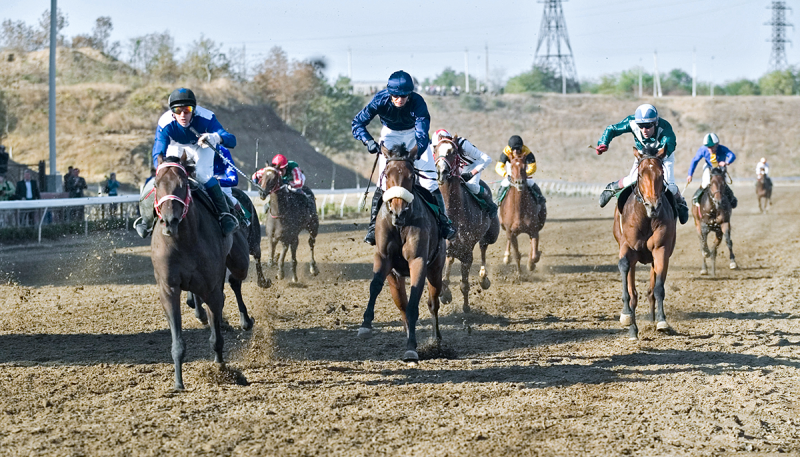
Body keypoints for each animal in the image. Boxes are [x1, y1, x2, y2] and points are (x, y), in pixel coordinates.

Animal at [148, 156, 252, 388]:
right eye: (156, 184)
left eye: (183, 184)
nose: (169, 221)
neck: (183, 240)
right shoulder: (168, 289)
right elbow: (178, 342)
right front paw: (178, 382)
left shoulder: (210, 287)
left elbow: (217, 339)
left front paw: (221, 370)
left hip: (240, 260)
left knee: (235, 281)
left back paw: (245, 320)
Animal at [360, 144, 446, 362]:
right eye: (386, 174)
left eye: (411, 175)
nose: (398, 212)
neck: (400, 225)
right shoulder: (384, 259)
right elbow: (375, 286)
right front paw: (365, 325)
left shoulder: (418, 261)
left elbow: (415, 304)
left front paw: (411, 348)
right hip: (396, 279)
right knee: (402, 306)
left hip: (436, 268)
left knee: (433, 303)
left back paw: (436, 341)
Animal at [434, 137, 496, 312]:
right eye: (434, 149)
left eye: (452, 151)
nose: (441, 172)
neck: (454, 213)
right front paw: (445, 294)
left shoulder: (466, 251)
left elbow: (464, 284)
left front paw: (466, 307)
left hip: (490, 235)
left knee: (483, 247)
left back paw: (483, 278)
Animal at [496, 150, 548, 280]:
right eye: (511, 167)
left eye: (525, 167)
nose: (520, 182)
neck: (519, 210)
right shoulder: (511, 232)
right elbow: (517, 255)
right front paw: (519, 274)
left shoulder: (534, 230)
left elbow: (534, 254)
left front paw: (531, 264)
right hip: (505, 228)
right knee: (509, 242)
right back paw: (506, 257)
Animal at [616, 145, 680, 338]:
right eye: (640, 174)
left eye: (661, 173)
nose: (653, 206)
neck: (645, 218)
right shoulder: (626, 247)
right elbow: (624, 269)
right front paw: (627, 317)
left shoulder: (661, 249)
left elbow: (658, 288)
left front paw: (661, 321)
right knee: (633, 290)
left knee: (652, 288)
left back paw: (652, 319)